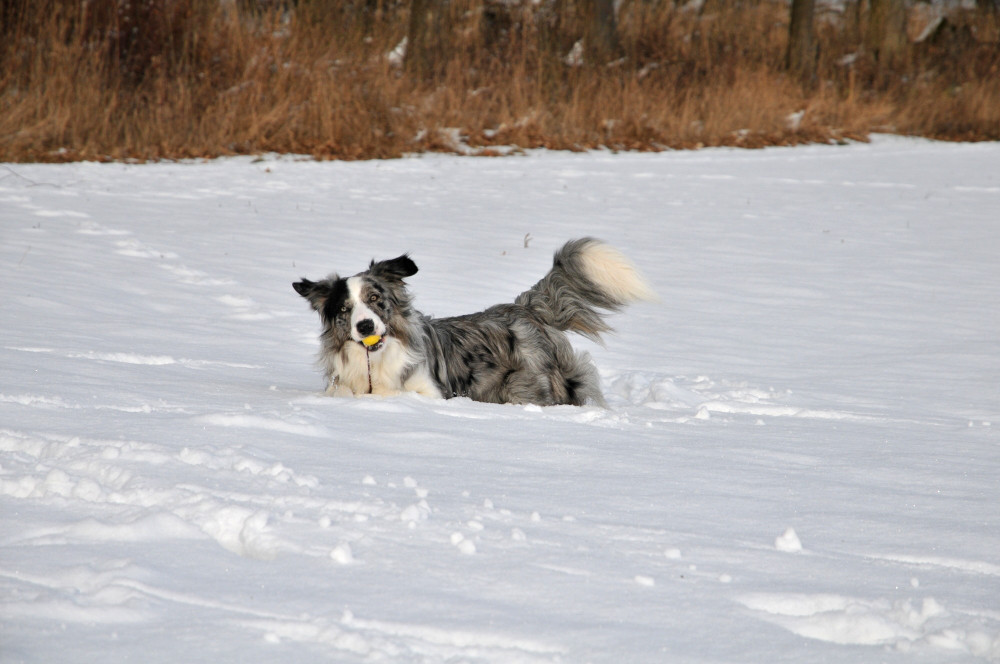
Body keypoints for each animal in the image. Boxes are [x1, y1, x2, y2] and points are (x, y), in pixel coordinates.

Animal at [294, 236, 656, 408]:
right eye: (345, 309)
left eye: (374, 299)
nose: (365, 327)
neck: (375, 363)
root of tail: (524, 308)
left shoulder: (431, 391)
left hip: (527, 386)